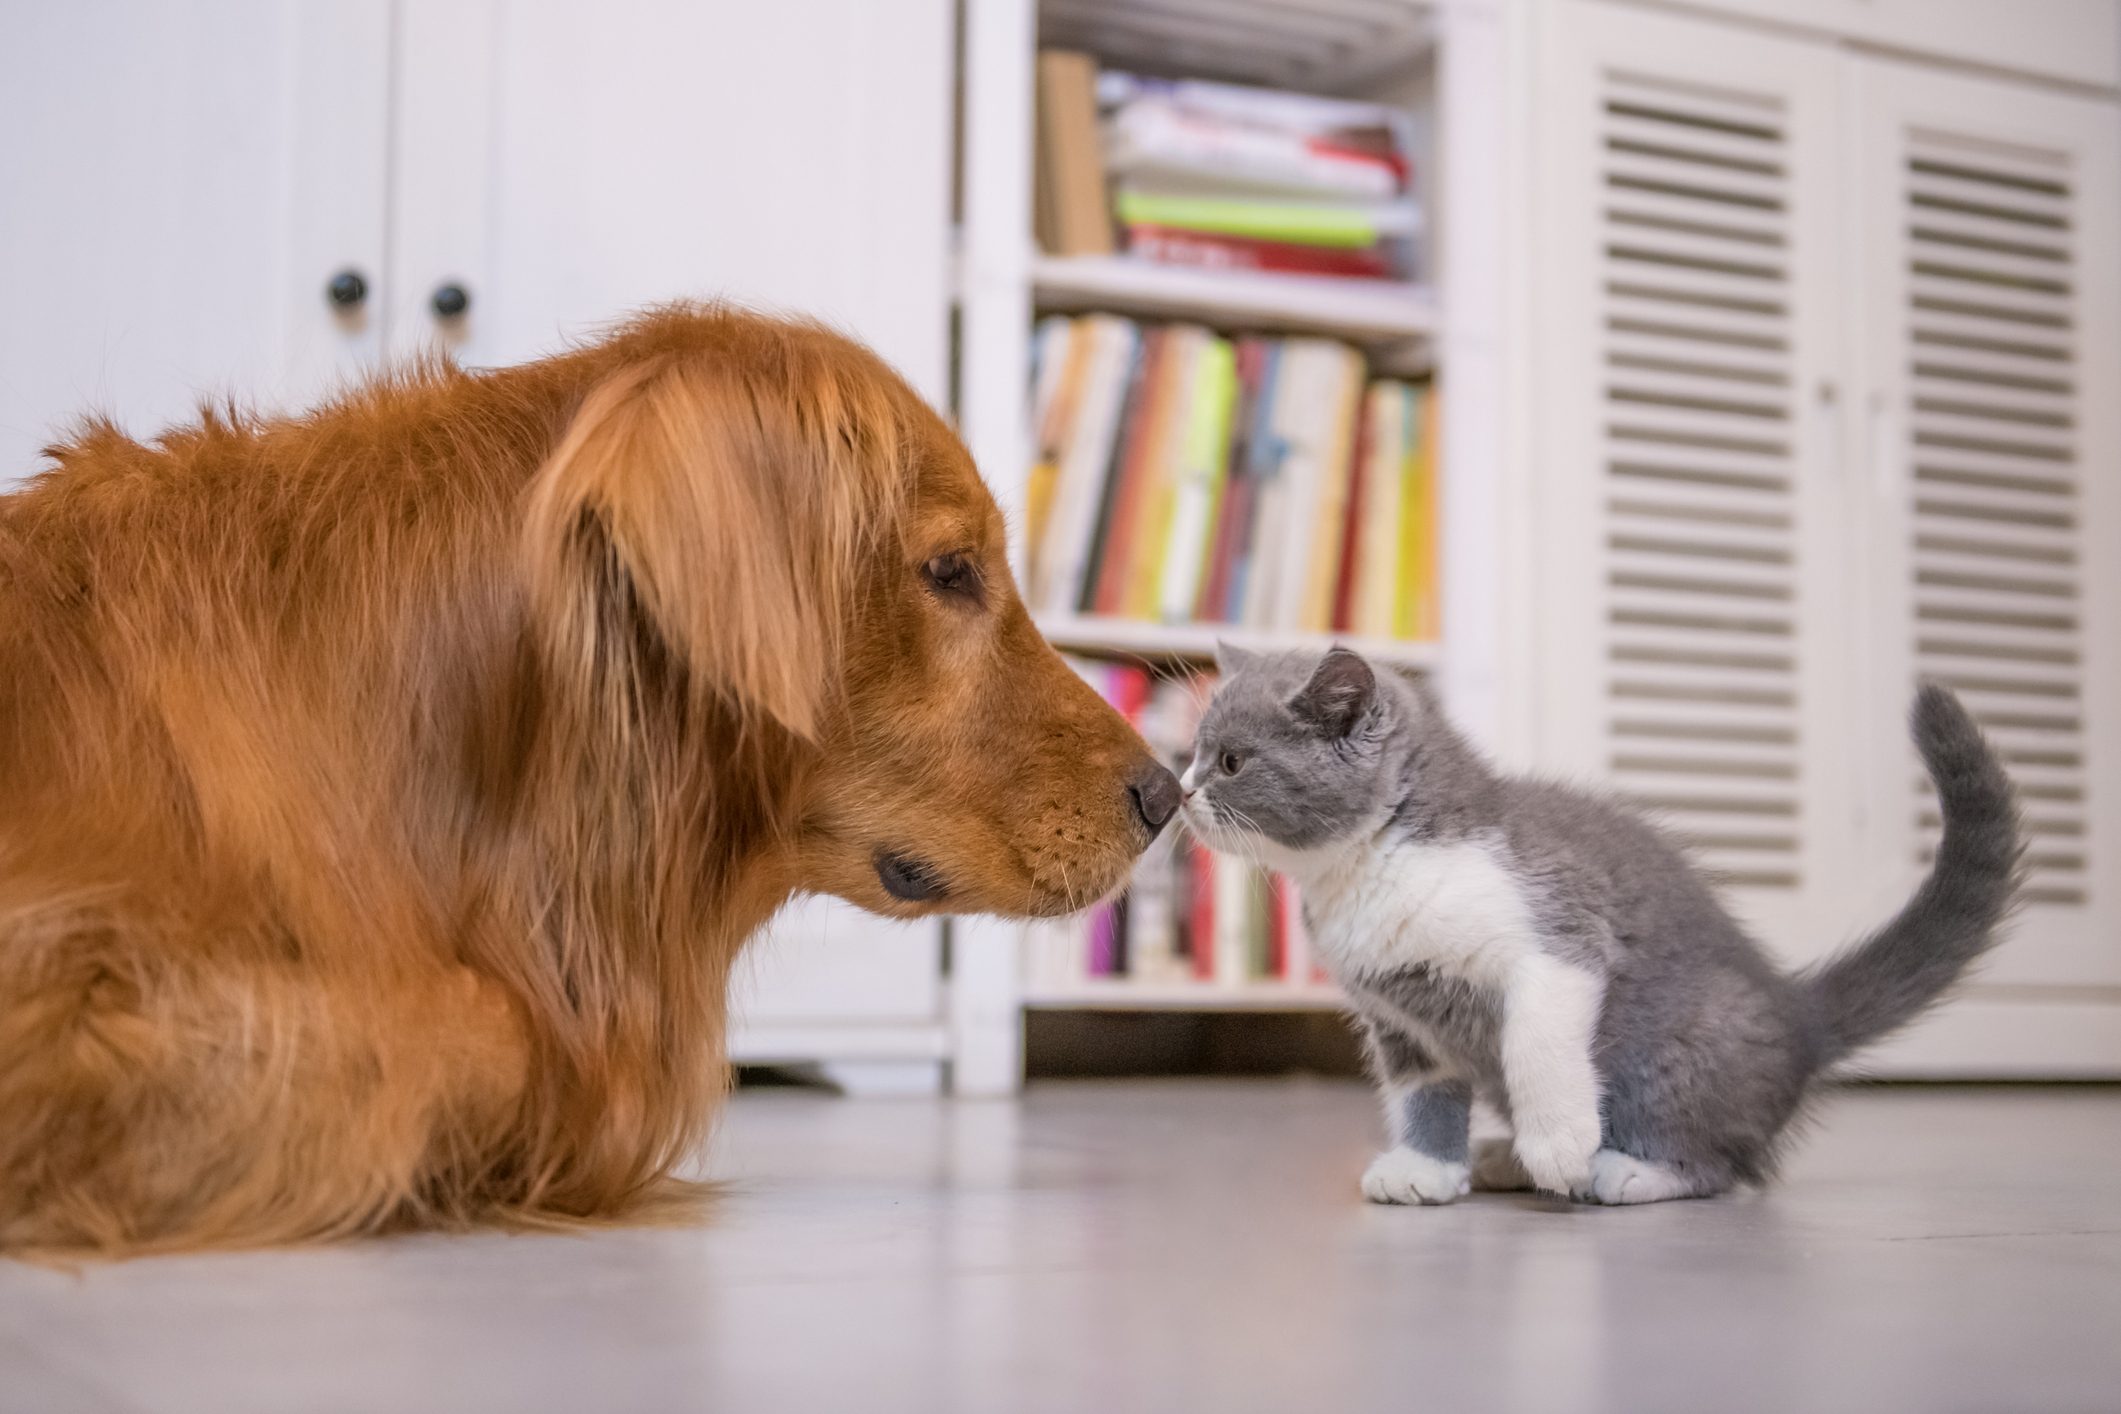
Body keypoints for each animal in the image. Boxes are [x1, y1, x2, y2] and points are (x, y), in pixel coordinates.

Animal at [1187, 648, 2010, 1204]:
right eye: (1194, 753)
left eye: (1230, 761)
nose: (1184, 788)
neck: (1367, 868)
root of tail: (1798, 1016)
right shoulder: (1398, 1019)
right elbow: (1423, 1090)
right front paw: (1427, 1168)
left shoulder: (1560, 936)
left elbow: (1536, 1040)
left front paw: (1558, 1144)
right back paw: (1500, 1156)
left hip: (1686, 1046)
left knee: (1721, 1164)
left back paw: (1627, 1170)